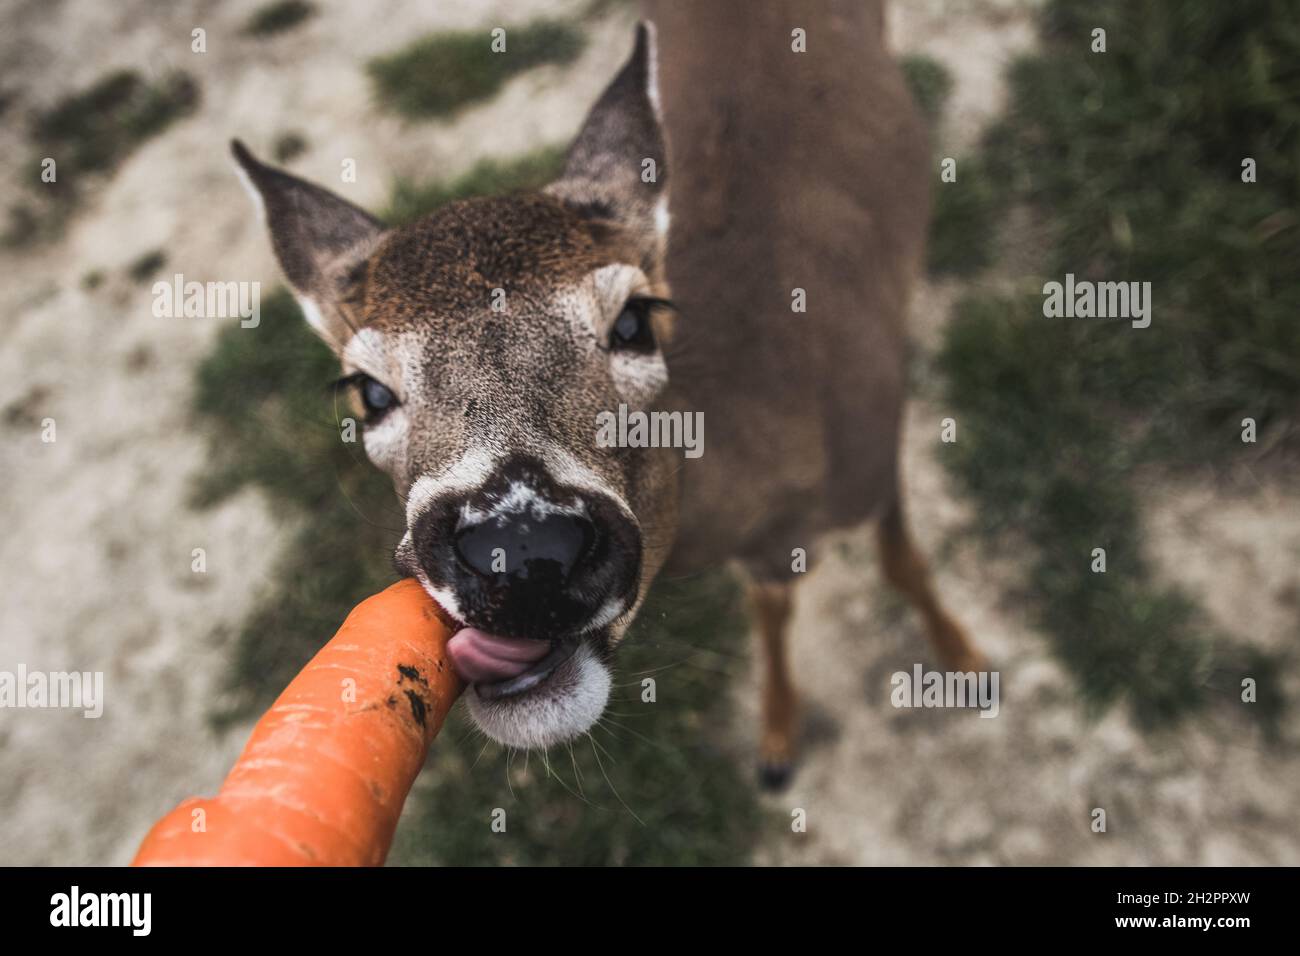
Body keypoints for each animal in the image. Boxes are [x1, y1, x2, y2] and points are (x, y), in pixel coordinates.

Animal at [232, 0, 983, 790]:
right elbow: (771, 606)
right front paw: (778, 738)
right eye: (368, 391)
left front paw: (964, 663)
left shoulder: (878, 442)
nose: (521, 551)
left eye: (633, 320)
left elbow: (902, 564)